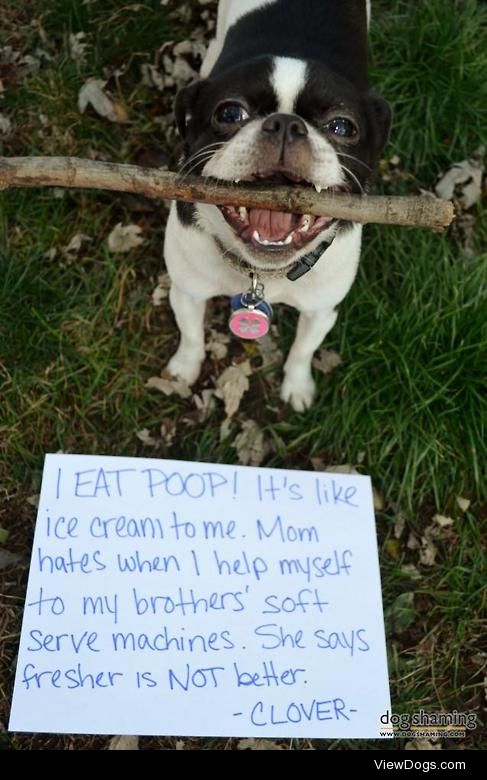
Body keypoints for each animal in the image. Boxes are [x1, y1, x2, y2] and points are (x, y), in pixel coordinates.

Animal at [165, 0, 392, 412]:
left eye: (341, 127)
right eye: (229, 114)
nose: (286, 123)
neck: (262, 275)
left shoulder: (321, 310)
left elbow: (303, 350)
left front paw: (298, 388)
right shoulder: (186, 290)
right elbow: (190, 334)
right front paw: (183, 370)